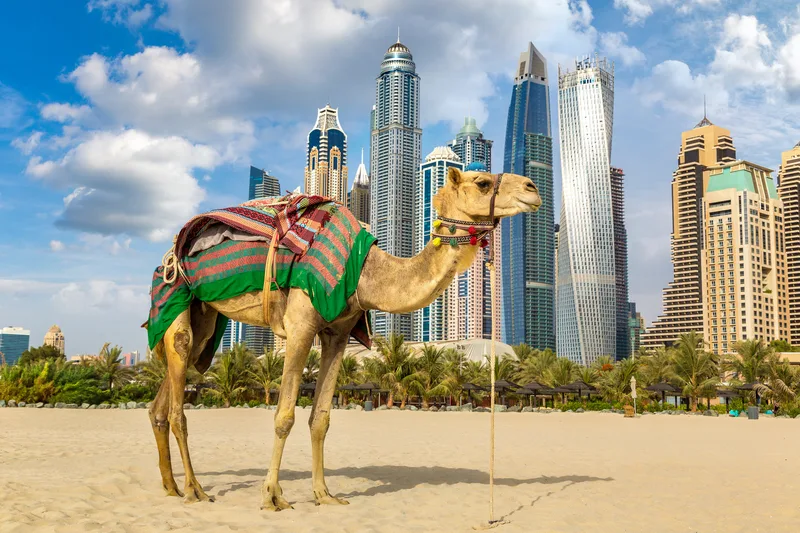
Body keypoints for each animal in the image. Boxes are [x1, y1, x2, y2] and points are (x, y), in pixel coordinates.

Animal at [147, 167, 541, 510]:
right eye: (482, 182)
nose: (532, 188)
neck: (367, 272)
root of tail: (167, 255)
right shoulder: (300, 325)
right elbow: (284, 415)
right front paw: (272, 497)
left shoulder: (337, 334)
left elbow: (320, 418)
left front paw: (324, 495)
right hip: (175, 295)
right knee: (179, 387)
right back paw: (195, 490)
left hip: (205, 319)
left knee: (163, 400)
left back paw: (169, 485)